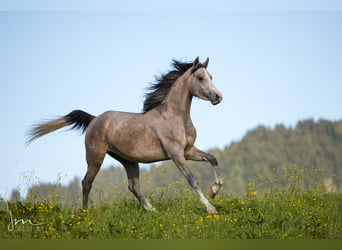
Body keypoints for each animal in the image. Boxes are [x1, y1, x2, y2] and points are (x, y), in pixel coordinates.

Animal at [27, 57, 224, 215]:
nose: (218, 97)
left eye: (211, 77)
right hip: (95, 158)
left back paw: (153, 210)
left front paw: (214, 191)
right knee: (86, 182)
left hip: (128, 160)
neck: (175, 117)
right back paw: (84, 213)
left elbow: (213, 159)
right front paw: (211, 208)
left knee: (133, 186)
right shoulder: (175, 153)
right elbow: (192, 179)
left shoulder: (188, 151)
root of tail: (94, 119)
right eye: (200, 77)